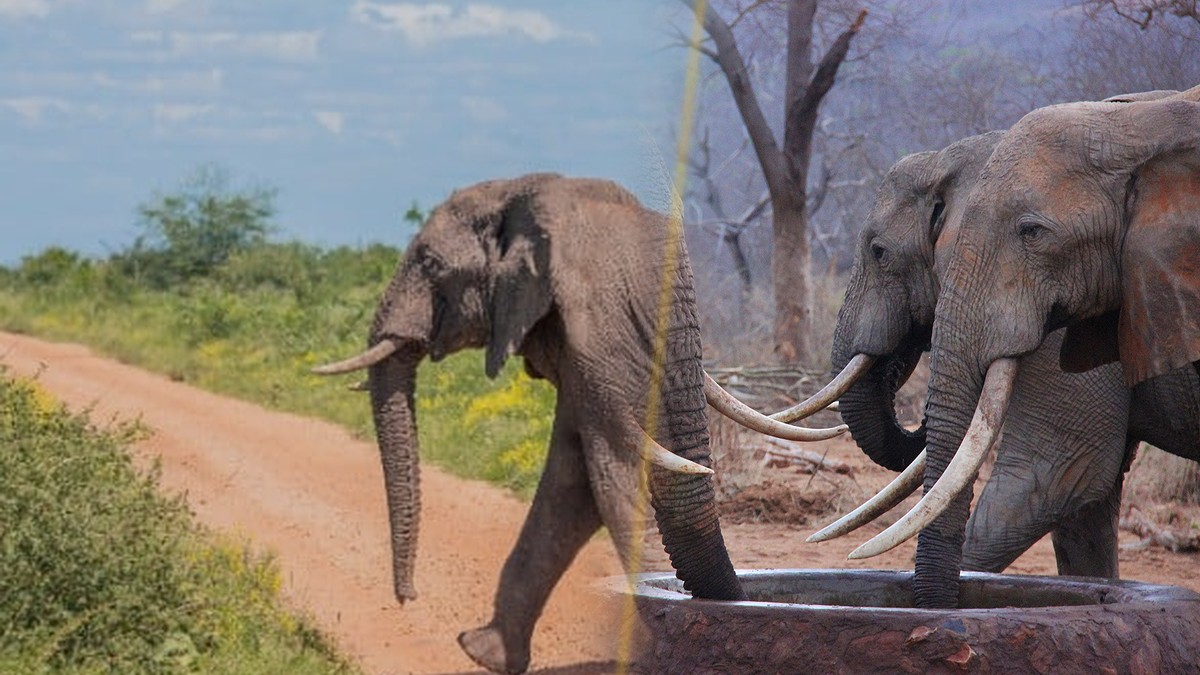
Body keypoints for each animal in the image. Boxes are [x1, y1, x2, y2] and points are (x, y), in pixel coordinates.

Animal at [313, 173, 844, 673]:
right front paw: (484, 654)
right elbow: (577, 483)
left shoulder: (597, 348)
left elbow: (600, 483)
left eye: (429, 263)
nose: (408, 598)